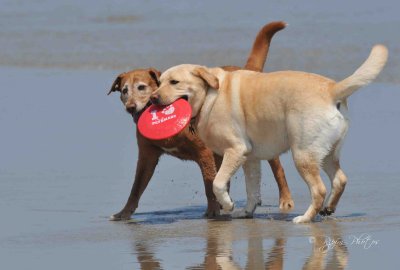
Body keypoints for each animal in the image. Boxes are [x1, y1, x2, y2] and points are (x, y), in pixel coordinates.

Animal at [108, 21, 292, 219]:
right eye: (124, 91)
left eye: (141, 87)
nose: (131, 107)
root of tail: (248, 69)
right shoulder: (147, 155)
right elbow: (136, 188)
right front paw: (123, 213)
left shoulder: (205, 153)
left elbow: (209, 184)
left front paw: (212, 211)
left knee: (278, 169)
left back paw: (285, 200)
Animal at [152, 43, 390, 221]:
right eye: (159, 82)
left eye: (174, 82)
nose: (153, 98)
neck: (211, 94)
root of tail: (332, 89)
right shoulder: (250, 158)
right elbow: (252, 189)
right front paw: (246, 212)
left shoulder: (235, 150)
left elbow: (218, 184)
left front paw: (228, 204)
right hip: (327, 153)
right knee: (340, 180)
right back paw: (328, 209)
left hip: (303, 155)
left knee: (319, 189)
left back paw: (305, 218)